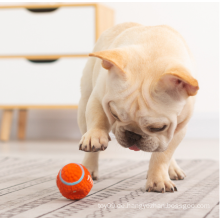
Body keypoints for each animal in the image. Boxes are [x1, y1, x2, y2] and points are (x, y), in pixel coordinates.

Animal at [78, 22, 199, 192]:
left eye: (158, 127)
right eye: (114, 114)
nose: (133, 135)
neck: (154, 51)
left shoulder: (178, 129)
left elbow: (163, 155)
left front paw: (158, 179)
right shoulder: (99, 97)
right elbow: (98, 118)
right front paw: (95, 135)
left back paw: (173, 168)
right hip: (84, 103)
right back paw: (88, 167)